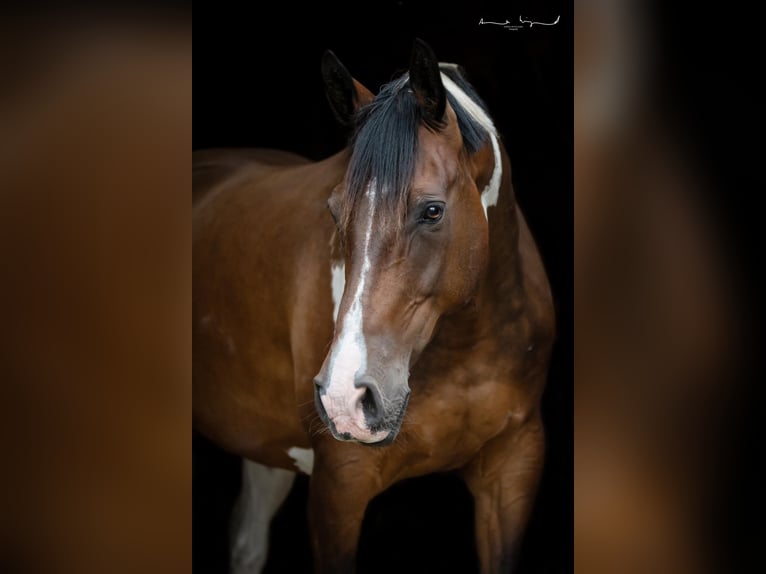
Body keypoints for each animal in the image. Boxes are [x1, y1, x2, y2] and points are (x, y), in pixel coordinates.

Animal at [191, 38, 552, 572]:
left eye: (432, 210)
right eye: (335, 210)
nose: (345, 397)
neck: (464, 351)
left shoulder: (513, 469)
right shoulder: (340, 485)